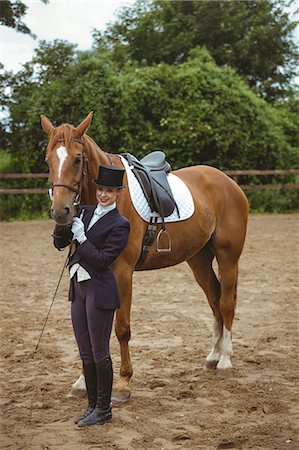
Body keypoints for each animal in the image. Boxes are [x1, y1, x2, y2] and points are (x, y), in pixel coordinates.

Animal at [41, 111, 248, 404]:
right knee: (215, 300)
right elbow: (90, 329)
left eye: (77, 158)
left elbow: (121, 328)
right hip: (199, 260)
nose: (61, 212)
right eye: (49, 159)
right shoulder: (87, 271)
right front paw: (82, 383)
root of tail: (229, 182)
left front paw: (123, 384)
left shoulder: (122, 273)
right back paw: (213, 356)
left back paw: (226, 361)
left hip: (228, 257)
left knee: (227, 303)